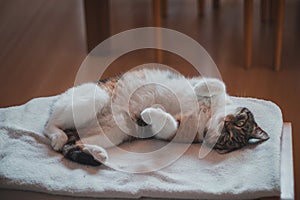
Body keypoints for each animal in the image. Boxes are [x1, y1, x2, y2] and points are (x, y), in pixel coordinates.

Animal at [42, 68, 270, 166]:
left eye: (228, 137)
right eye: (240, 122)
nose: (226, 123)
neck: (208, 115)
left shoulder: (171, 133)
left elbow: (167, 124)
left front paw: (149, 113)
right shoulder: (210, 87)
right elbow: (218, 84)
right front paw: (200, 88)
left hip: (112, 134)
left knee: (75, 142)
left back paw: (97, 154)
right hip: (93, 97)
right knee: (49, 124)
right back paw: (58, 137)